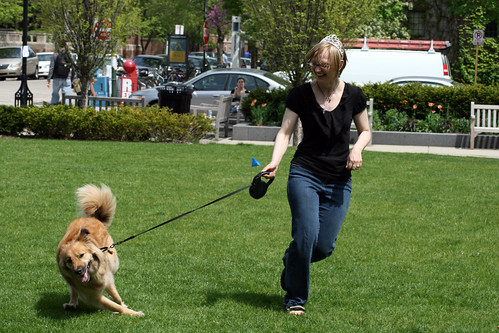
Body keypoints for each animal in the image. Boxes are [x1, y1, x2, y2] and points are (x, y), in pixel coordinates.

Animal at [56, 184, 144, 316]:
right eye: (69, 260)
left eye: (81, 255)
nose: (78, 271)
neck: (93, 275)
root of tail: (94, 218)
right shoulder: (92, 295)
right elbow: (113, 305)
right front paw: (133, 313)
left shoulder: (107, 278)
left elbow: (117, 298)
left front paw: (124, 305)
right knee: (73, 290)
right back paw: (72, 303)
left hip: (112, 260)